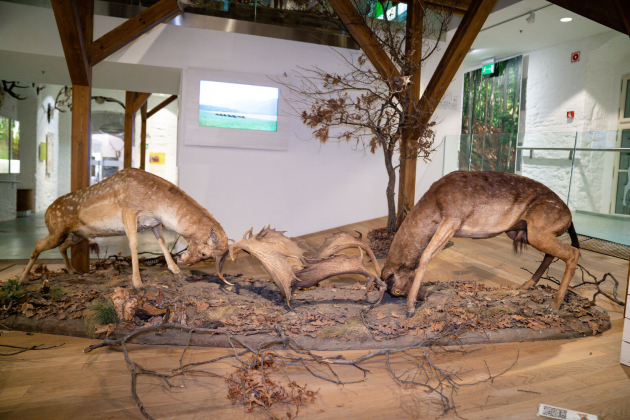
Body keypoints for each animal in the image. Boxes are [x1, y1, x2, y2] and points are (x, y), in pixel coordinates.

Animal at [19, 167, 232, 288]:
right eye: (205, 254)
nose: (186, 261)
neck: (156, 204)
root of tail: (47, 212)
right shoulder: (129, 211)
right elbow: (134, 244)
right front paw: (137, 283)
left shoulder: (155, 223)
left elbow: (162, 244)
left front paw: (175, 270)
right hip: (57, 230)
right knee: (38, 243)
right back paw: (22, 279)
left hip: (76, 234)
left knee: (62, 247)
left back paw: (72, 271)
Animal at [380, 171, 584, 318]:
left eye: (397, 290)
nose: (424, 296)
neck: (434, 201)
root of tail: (569, 216)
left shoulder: (452, 221)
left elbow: (425, 256)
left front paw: (410, 309)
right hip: (523, 234)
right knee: (552, 254)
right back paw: (525, 286)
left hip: (538, 235)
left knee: (574, 252)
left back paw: (554, 306)